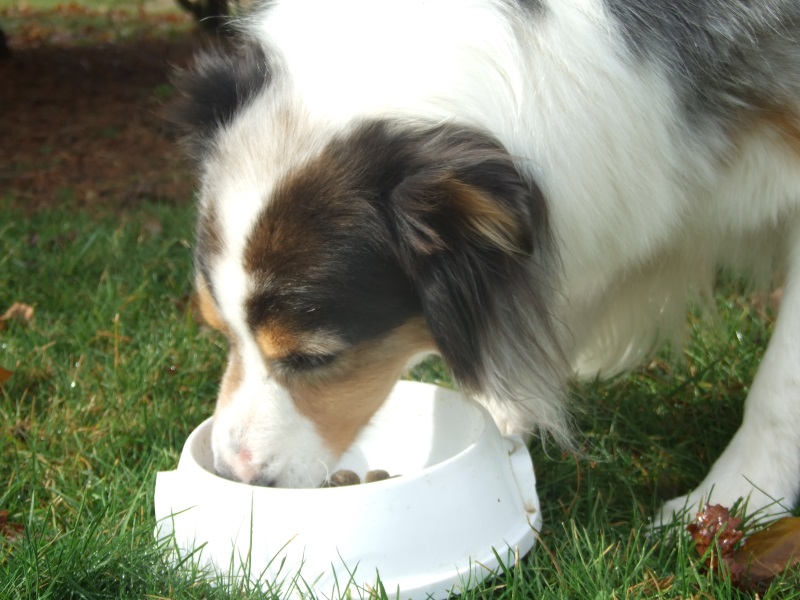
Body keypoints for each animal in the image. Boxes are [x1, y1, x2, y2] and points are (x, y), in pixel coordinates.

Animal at [172, 0, 800, 520]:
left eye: (311, 358)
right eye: (219, 331)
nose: (233, 473)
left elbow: (780, 384)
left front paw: (733, 499)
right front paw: (499, 416)